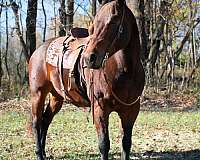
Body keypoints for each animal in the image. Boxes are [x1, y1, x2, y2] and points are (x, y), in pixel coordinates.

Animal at [28, 0, 144, 159]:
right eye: (93, 25)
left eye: (113, 22)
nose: (89, 58)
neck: (125, 71)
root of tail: (39, 50)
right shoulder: (100, 109)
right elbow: (104, 144)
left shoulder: (131, 111)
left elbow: (126, 143)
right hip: (38, 94)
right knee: (36, 122)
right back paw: (39, 153)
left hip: (56, 97)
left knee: (45, 120)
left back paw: (44, 153)